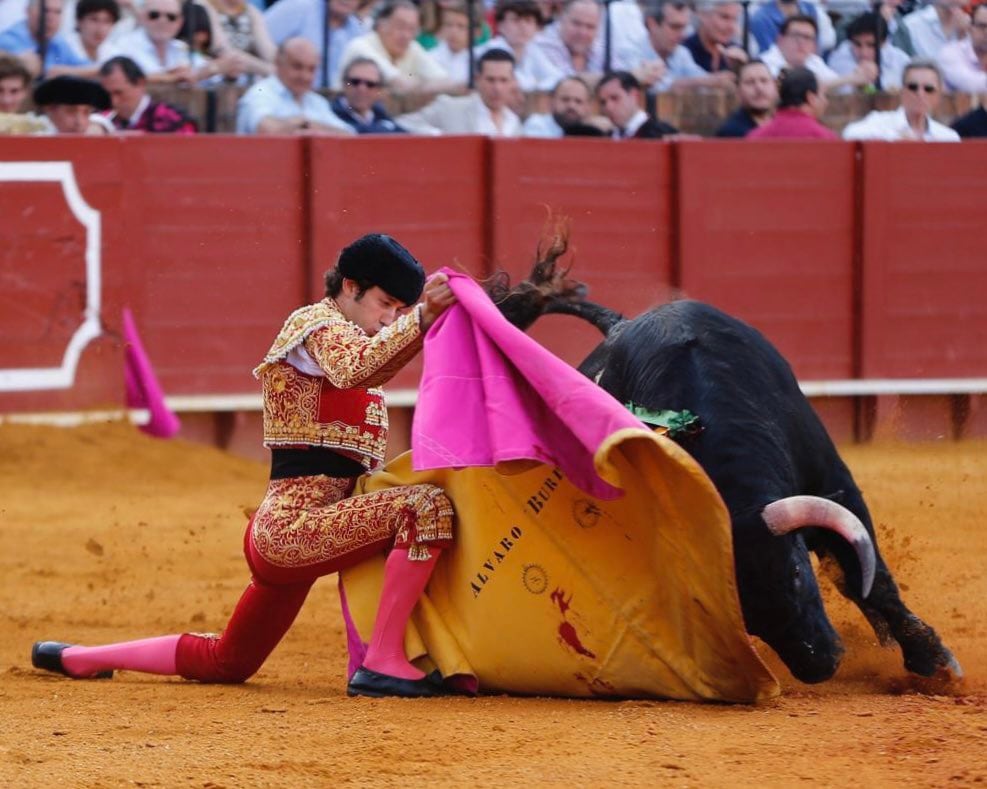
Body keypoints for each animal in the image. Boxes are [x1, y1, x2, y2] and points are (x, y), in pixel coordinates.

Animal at [510, 284, 964, 684]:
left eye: (795, 573)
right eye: (744, 613)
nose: (820, 665)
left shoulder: (834, 483)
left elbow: (868, 578)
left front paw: (935, 663)